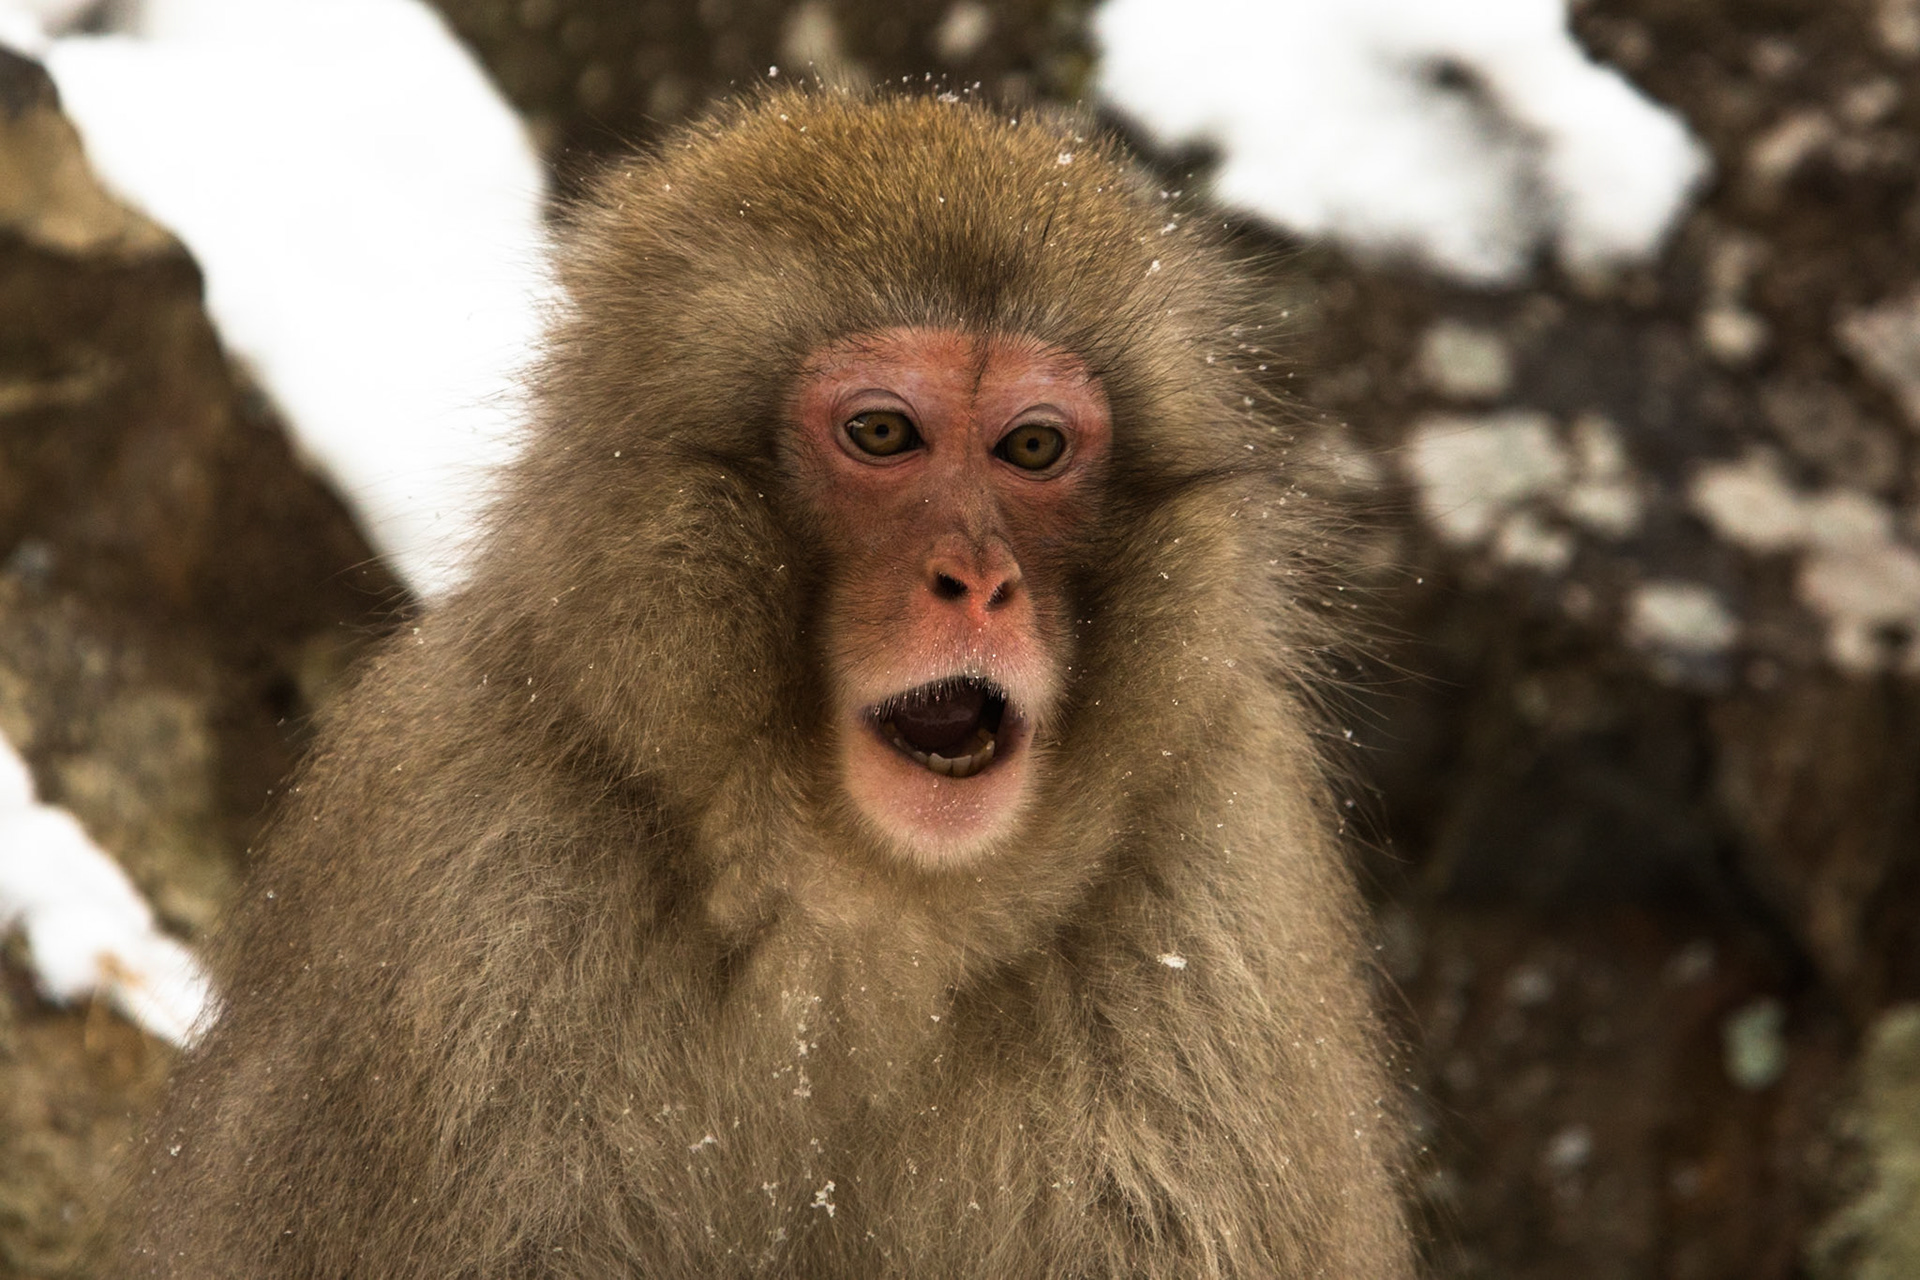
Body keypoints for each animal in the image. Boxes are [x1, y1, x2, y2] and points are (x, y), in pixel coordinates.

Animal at [122, 92, 1413, 1278]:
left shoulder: (1215, 904)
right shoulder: (462, 882)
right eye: (884, 433)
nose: (981, 581)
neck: (868, 914)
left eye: (1033, 448)